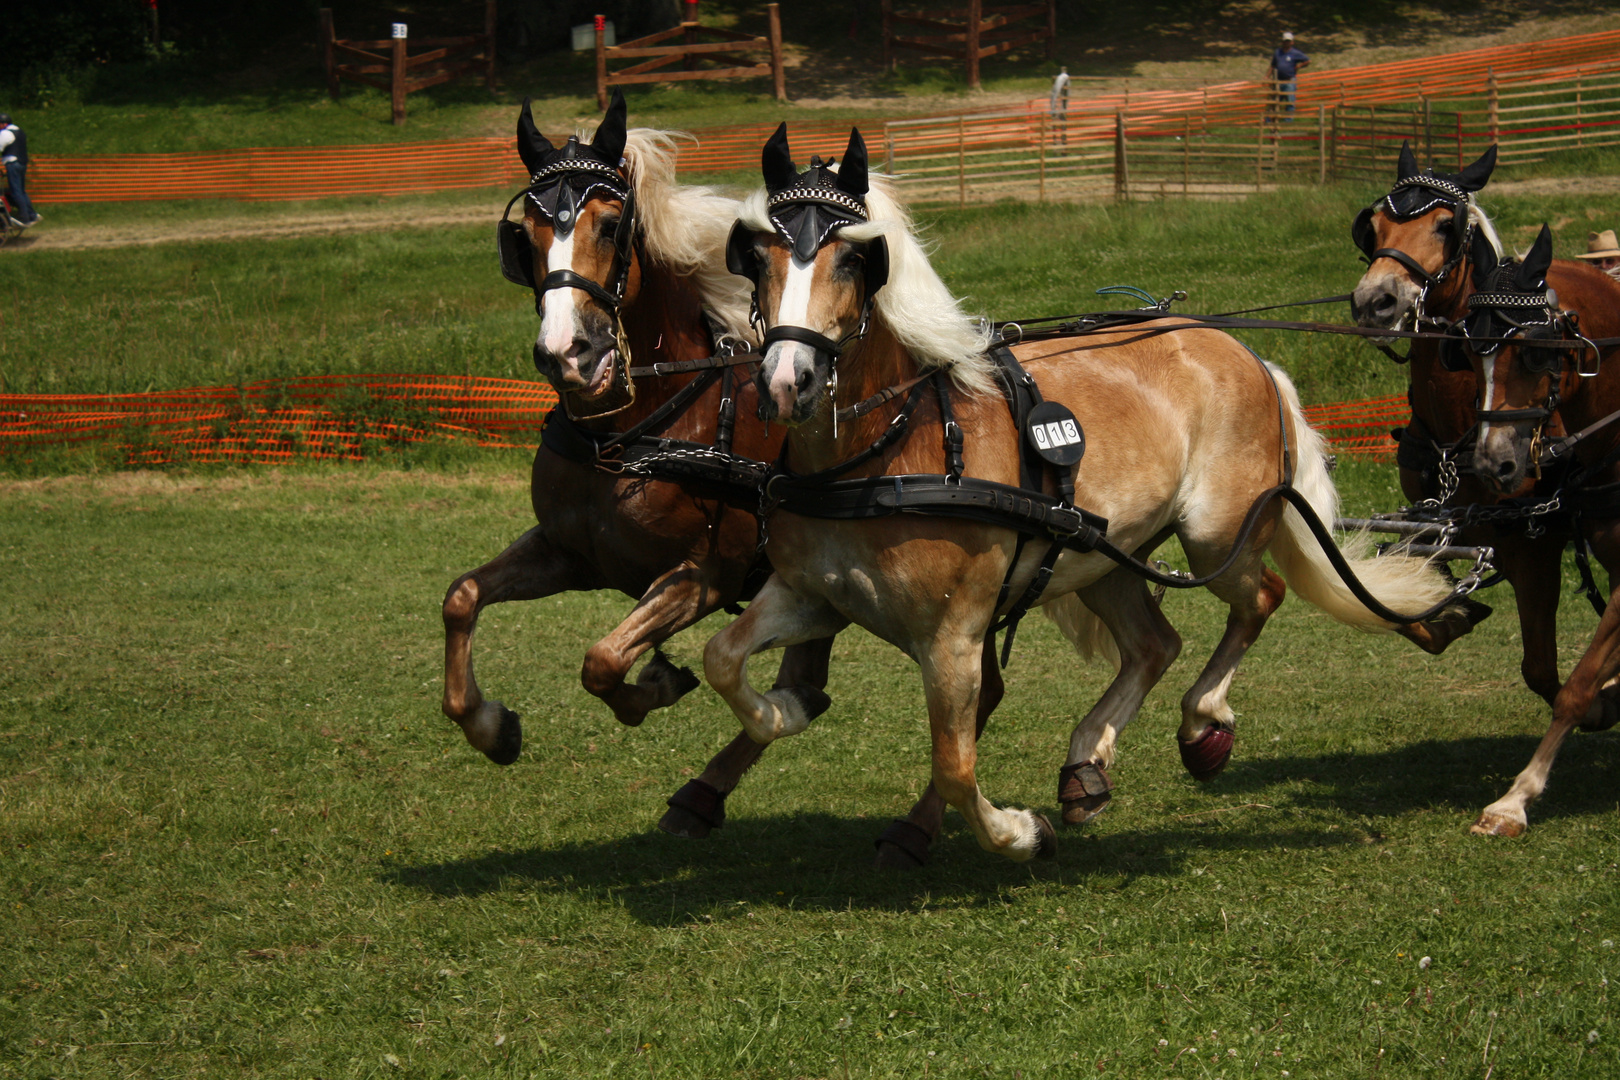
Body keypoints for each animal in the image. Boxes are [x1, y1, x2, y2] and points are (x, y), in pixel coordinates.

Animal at [440, 97, 835, 835]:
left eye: (610, 224)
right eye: (525, 234)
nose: (567, 352)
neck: (635, 430)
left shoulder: (703, 577)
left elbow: (601, 662)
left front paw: (655, 683)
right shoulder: (571, 554)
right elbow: (462, 597)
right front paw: (489, 726)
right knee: (807, 684)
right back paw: (706, 792)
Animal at [699, 127, 1470, 867]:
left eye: (852, 261)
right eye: (758, 258)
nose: (787, 382)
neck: (887, 450)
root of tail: (1245, 353)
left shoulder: (952, 636)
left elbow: (955, 765)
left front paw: (1019, 834)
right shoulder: (812, 595)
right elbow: (721, 658)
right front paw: (783, 710)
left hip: (1216, 536)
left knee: (1260, 599)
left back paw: (1202, 723)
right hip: (1106, 555)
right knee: (1155, 643)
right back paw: (1087, 763)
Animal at [1341, 143, 1594, 718]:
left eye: (1443, 226)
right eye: (1375, 227)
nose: (1374, 302)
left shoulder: (1534, 545)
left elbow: (1541, 669)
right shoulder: (1431, 523)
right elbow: (1408, 617)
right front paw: (1450, 615)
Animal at [1458, 226, 1620, 835]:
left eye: (1533, 350)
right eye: (1467, 353)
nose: (1492, 465)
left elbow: (1576, 687)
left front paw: (1515, 799)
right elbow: (1560, 677)